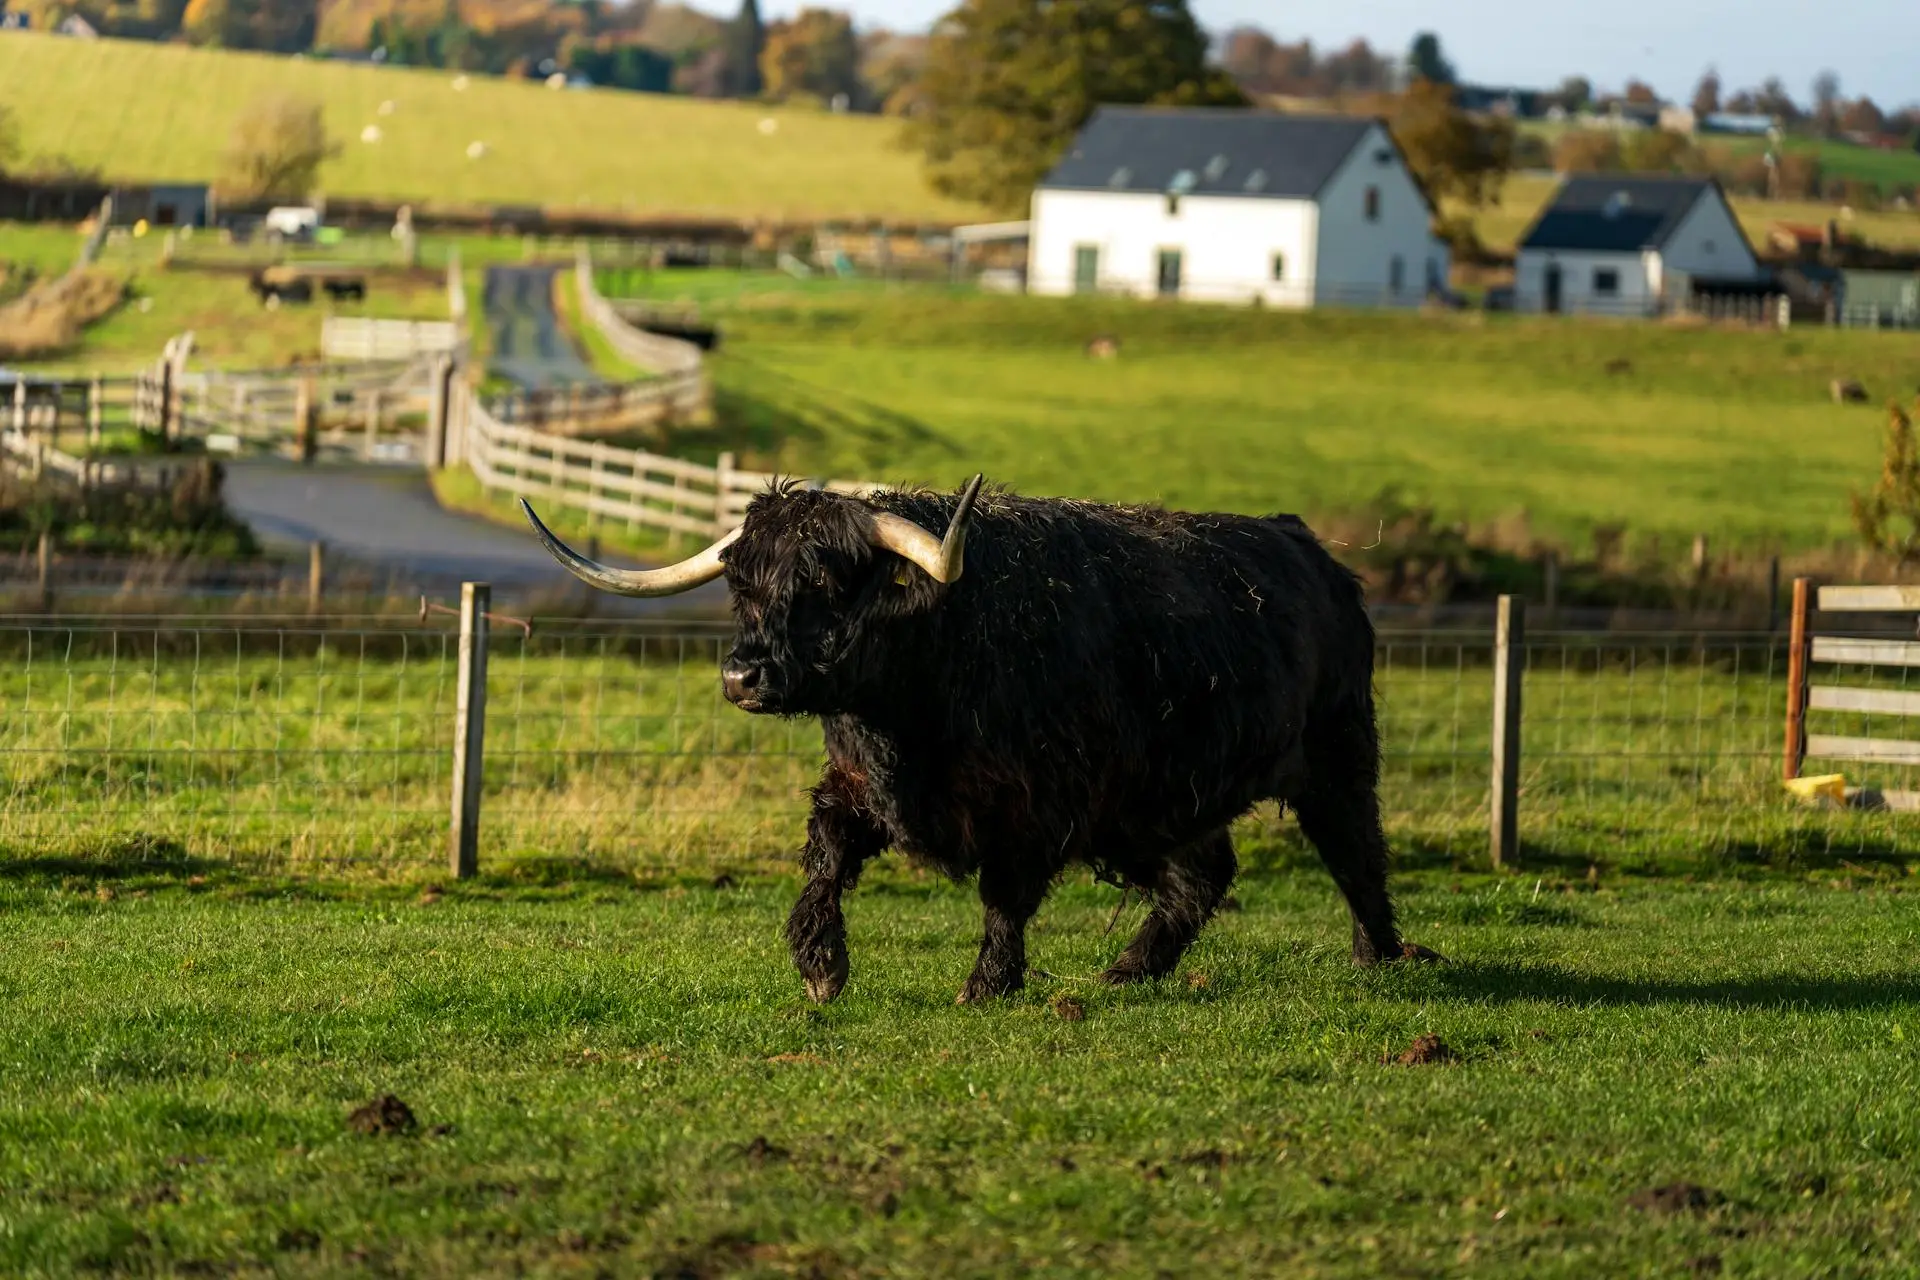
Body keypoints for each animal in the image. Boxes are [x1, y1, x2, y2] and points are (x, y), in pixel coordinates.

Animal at [520, 477, 1439, 1005]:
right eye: (741, 587)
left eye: (822, 582)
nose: (744, 677)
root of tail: (1311, 549)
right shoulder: (861, 784)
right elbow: (824, 855)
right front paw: (821, 964)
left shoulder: (1036, 806)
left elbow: (1005, 897)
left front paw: (986, 985)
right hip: (1157, 801)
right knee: (1204, 874)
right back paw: (1129, 970)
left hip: (1337, 752)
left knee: (1358, 854)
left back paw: (1381, 958)